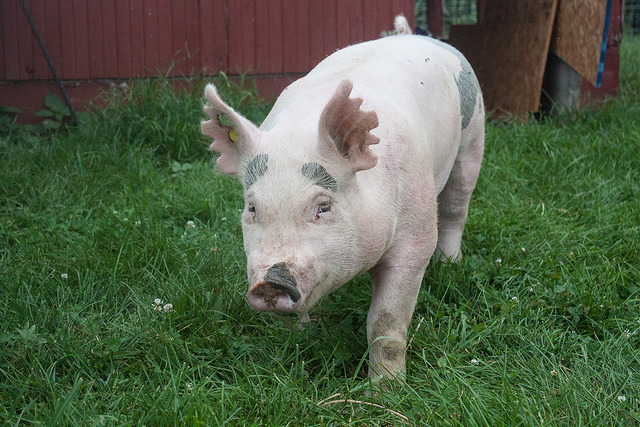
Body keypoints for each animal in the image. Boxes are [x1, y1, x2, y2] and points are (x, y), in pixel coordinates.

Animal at [201, 16, 484, 381]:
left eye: (323, 206)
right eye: (252, 207)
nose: (270, 283)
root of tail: (411, 35)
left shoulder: (415, 237)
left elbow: (386, 323)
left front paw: (387, 389)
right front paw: (299, 340)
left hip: (473, 135)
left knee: (456, 205)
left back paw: (450, 263)